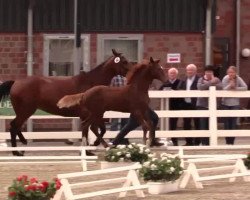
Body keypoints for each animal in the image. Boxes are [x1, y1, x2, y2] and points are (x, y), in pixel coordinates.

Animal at [0, 49, 132, 155]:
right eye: (124, 61)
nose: (132, 73)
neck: (91, 83)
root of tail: (16, 82)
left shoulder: (92, 115)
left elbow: (96, 130)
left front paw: (90, 148)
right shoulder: (89, 114)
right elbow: (92, 130)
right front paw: (90, 148)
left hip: (23, 111)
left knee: (15, 126)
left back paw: (22, 144)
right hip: (26, 110)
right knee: (14, 126)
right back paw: (16, 151)